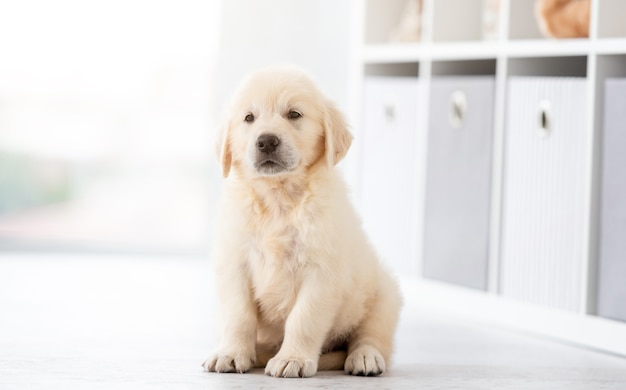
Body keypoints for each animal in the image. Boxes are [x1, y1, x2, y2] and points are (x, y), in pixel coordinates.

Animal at [202, 67, 402, 378]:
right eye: (249, 118)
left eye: (294, 114)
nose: (266, 141)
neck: (278, 199)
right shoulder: (236, 264)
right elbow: (238, 316)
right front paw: (232, 353)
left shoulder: (321, 271)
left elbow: (303, 318)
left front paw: (292, 359)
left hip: (384, 295)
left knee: (371, 336)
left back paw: (365, 358)